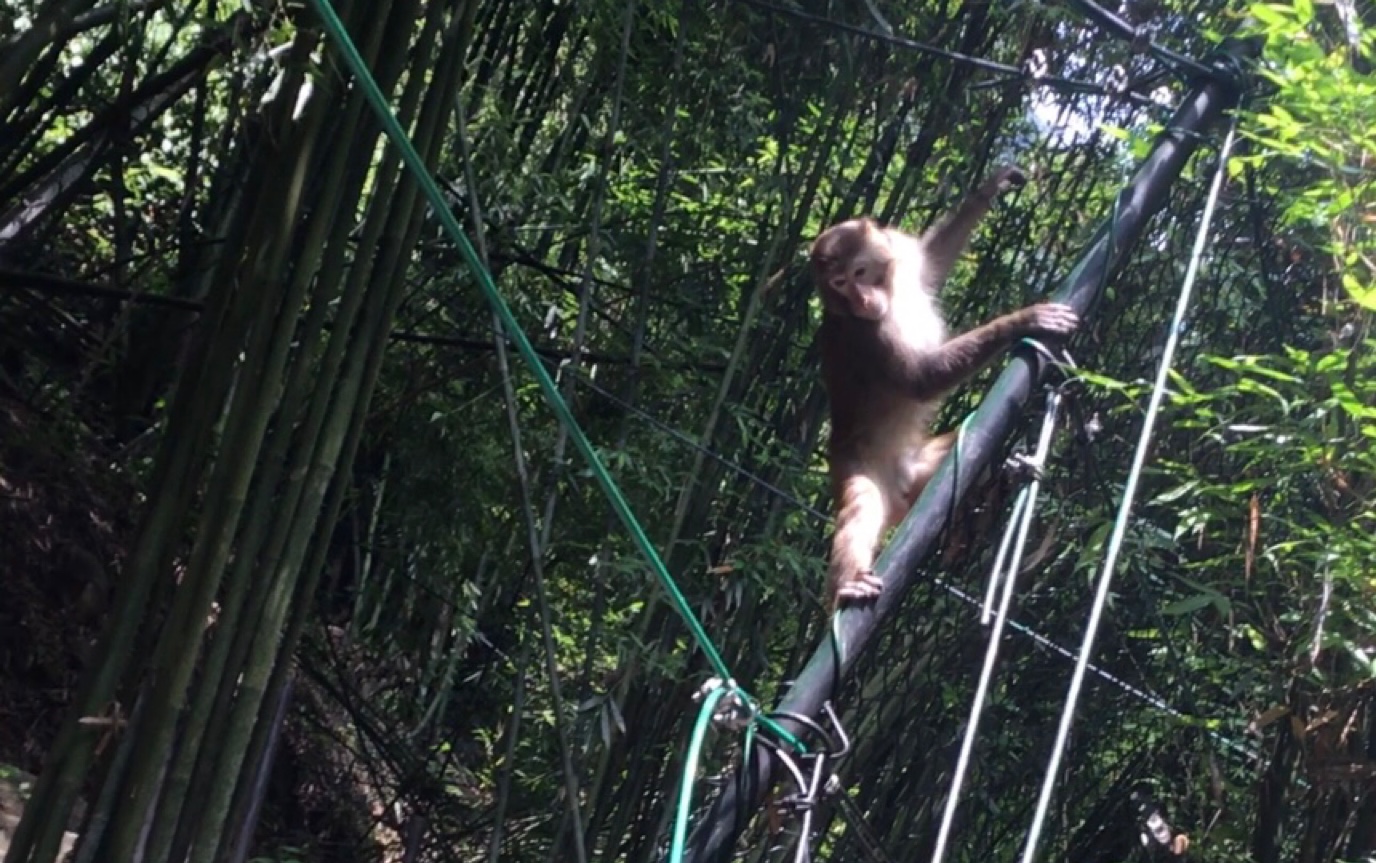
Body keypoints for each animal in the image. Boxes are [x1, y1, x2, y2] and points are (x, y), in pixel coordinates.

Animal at [803, 163, 1084, 608]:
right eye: (840, 284)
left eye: (859, 273)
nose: (862, 299)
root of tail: (899, 495)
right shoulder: (868, 339)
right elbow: (921, 378)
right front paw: (1023, 320)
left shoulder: (901, 256)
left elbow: (933, 261)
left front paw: (992, 187)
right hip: (855, 464)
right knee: (860, 510)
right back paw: (848, 584)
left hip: (927, 472)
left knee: (966, 454)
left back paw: (997, 489)